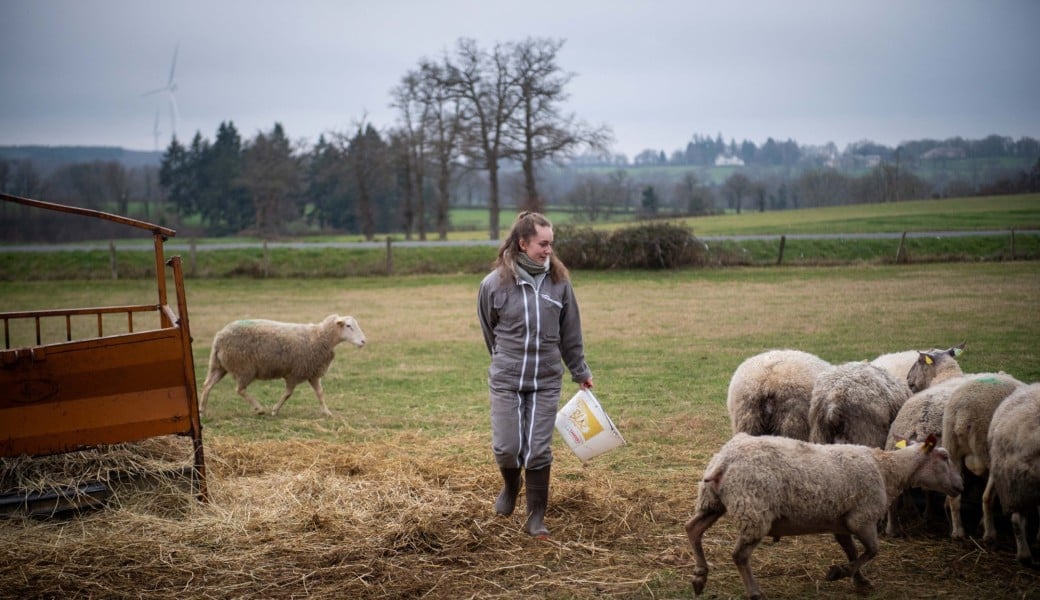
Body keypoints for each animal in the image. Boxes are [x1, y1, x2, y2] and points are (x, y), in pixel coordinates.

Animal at [197, 314, 366, 415]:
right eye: (348, 326)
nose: (363, 341)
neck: (319, 337)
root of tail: (220, 336)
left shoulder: (312, 373)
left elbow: (320, 393)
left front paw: (326, 412)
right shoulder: (295, 373)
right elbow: (288, 393)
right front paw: (275, 410)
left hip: (219, 365)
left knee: (207, 385)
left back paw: (202, 410)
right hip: (245, 367)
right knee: (240, 389)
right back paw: (259, 408)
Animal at [686, 430, 960, 594]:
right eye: (945, 457)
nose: (961, 487)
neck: (888, 470)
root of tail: (723, 461)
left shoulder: (842, 524)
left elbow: (853, 552)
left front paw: (859, 580)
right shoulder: (862, 517)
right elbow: (872, 550)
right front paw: (839, 572)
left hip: (713, 502)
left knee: (693, 529)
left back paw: (700, 577)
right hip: (754, 511)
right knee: (739, 555)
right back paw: (754, 592)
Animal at [944, 372, 1023, 540]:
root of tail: (963, 415)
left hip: (952, 451)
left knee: (955, 497)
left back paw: (958, 532)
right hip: (990, 454)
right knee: (987, 498)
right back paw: (990, 534)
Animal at [981, 380, 1040, 565]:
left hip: (1005, 473)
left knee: (987, 497)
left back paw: (990, 535)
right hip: (1019, 482)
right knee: (1016, 518)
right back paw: (1024, 555)